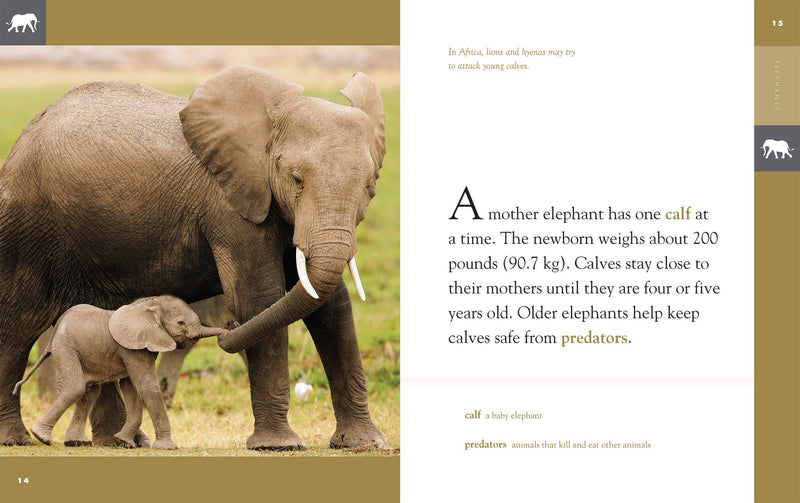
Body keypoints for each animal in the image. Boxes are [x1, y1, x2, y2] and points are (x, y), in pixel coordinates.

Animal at [13, 296, 228, 449]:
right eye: (181, 322)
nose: (230, 326)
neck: (150, 304)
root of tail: (59, 323)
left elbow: (131, 388)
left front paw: (123, 441)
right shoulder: (132, 348)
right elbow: (146, 386)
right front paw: (167, 447)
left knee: (90, 392)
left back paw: (76, 442)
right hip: (65, 346)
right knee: (75, 387)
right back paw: (41, 437)